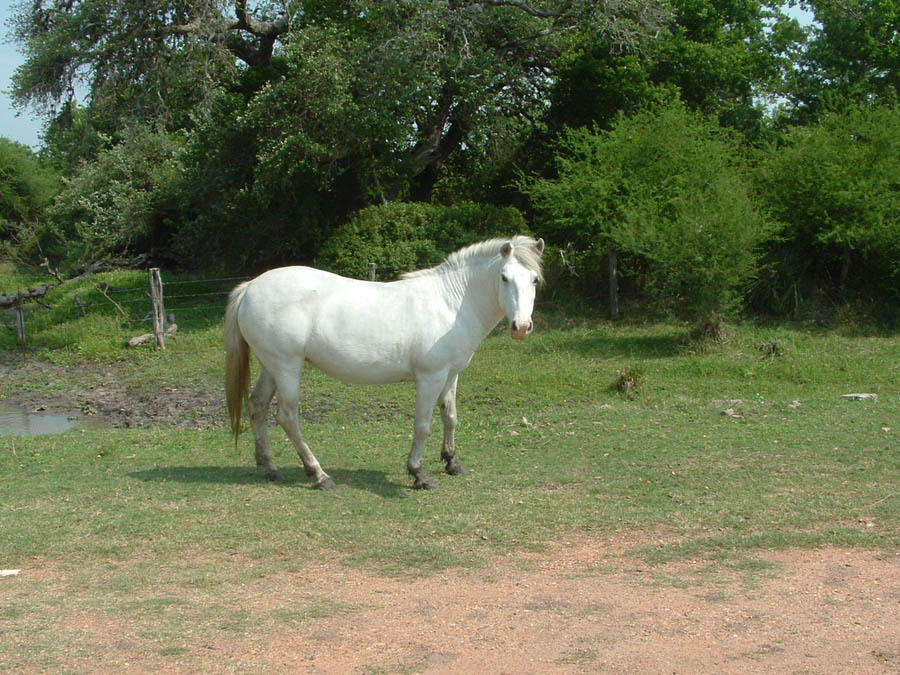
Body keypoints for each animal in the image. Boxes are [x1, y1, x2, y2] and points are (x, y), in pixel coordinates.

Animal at [229, 235, 544, 488]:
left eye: (534, 279)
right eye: (504, 277)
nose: (521, 327)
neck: (451, 304)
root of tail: (251, 287)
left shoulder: (451, 375)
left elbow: (450, 417)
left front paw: (452, 462)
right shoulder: (430, 378)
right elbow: (423, 425)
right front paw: (418, 473)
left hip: (272, 367)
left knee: (257, 406)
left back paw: (270, 467)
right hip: (287, 367)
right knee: (287, 417)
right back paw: (319, 475)